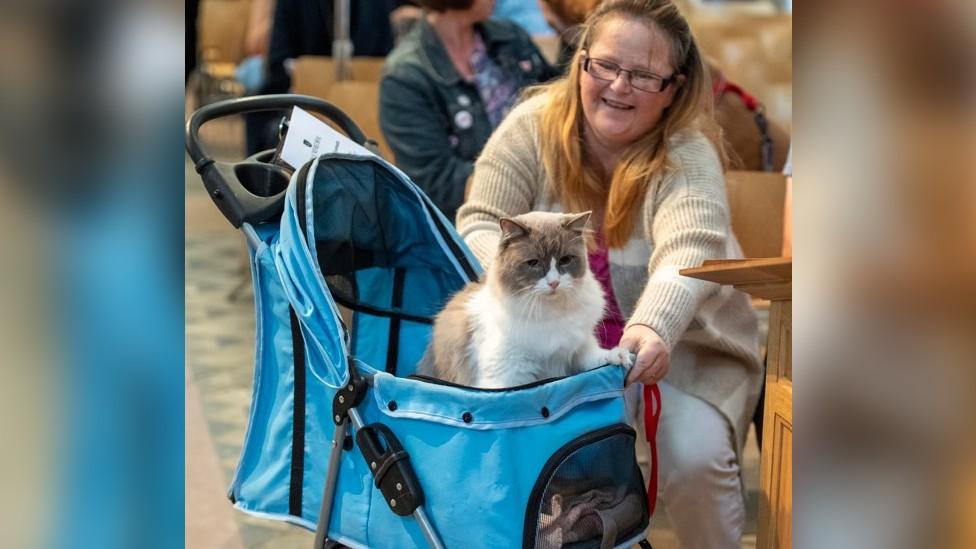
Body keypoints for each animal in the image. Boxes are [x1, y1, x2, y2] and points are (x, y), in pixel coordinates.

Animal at [418, 208, 632, 388]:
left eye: (565, 260)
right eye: (533, 263)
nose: (554, 283)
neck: (549, 312)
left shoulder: (577, 353)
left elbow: (597, 358)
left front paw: (620, 356)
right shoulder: (509, 375)